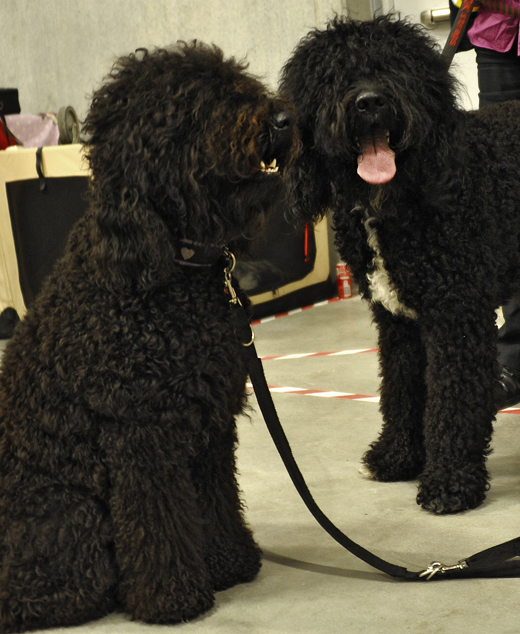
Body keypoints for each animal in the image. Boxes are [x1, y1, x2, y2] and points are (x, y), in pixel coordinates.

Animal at [0, 42, 296, 628]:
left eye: (234, 80)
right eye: (194, 106)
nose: (281, 117)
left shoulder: (208, 428)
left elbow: (215, 503)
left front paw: (228, 563)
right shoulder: (141, 437)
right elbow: (157, 525)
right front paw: (171, 597)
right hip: (71, 519)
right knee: (44, 593)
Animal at [282, 16, 520, 512]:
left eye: (396, 67)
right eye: (334, 75)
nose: (370, 101)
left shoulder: (456, 316)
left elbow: (451, 402)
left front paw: (450, 481)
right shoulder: (397, 322)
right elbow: (402, 389)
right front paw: (396, 456)